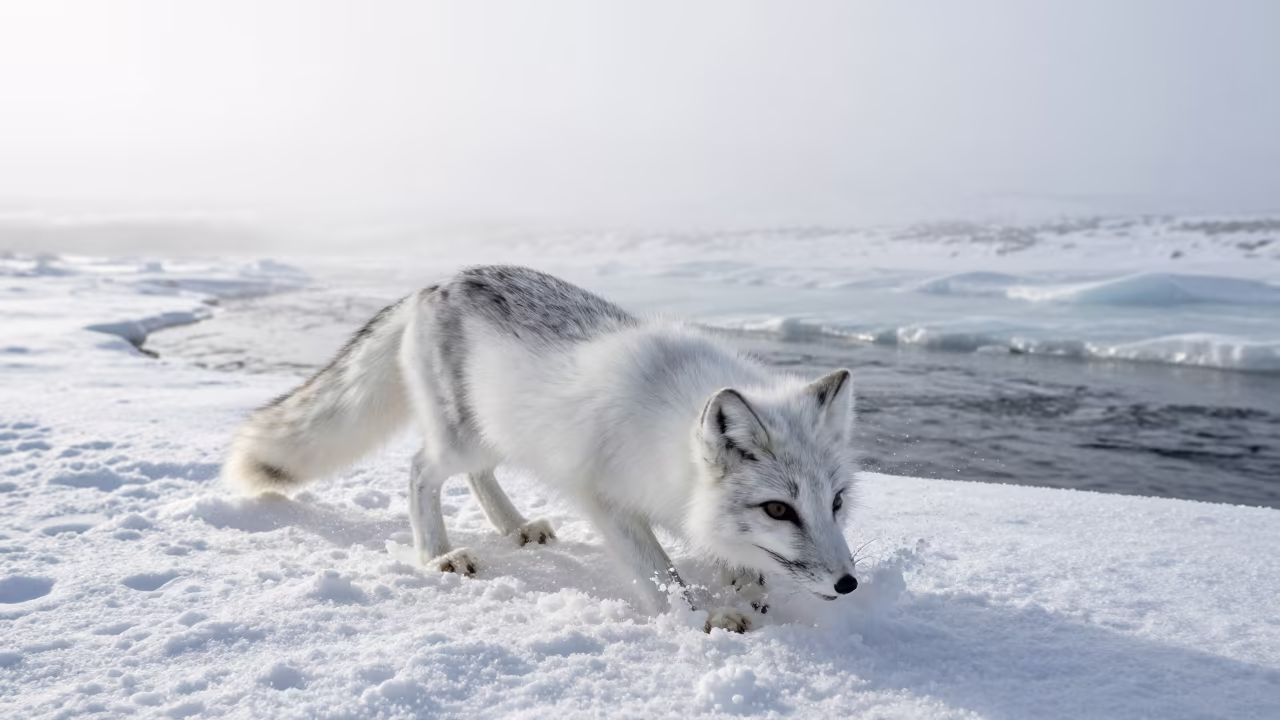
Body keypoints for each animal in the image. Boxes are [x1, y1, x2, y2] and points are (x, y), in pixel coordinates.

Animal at [222, 266, 859, 632]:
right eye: (778, 508)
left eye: (836, 503)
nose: (848, 586)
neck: (667, 431)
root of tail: (434, 284)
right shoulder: (606, 499)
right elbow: (660, 574)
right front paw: (700, 617)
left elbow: (735, 555)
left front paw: (746, 586)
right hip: (460, 440)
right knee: (419, 470)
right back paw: (438, 556)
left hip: (495, 437)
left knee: (478, 478)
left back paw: (516, 527)